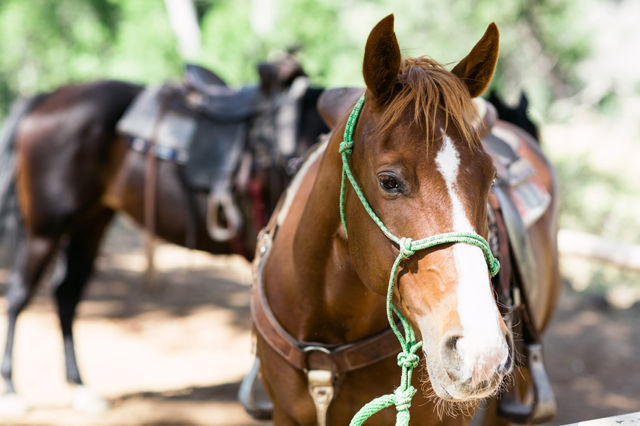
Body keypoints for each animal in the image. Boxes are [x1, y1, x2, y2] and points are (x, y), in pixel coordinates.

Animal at [0, 58, 328, 412]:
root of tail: (44, 100)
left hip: (90, 223)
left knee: (66, 295)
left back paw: (80, 388)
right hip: (44, 229)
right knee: (19, 296)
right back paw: (12, 389)